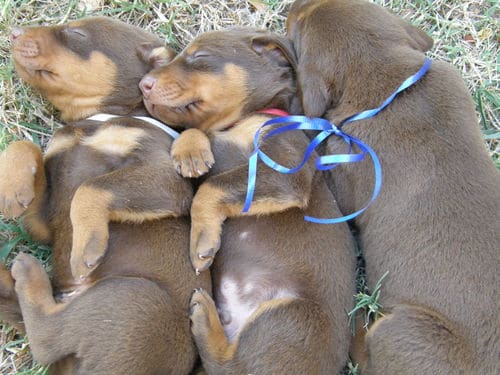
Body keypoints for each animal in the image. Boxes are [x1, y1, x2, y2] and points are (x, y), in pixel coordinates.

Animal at [0, 17, 211, 375]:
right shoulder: (45, 222)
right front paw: (13, 186)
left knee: (46, 339)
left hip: (134, 301)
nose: (13, 33)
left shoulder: (167, 179)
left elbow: (91, 188)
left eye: (76, 33)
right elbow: (25, 146)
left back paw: (27, 273)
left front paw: (86, 244)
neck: (94, 119)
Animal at [139, 27, 358, 374]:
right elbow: (196, 136)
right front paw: (190, 151)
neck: (241, 122)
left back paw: (204, 318)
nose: (143, 84)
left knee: (230, 364)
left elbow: (212, 187)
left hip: (288, 317)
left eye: (200, 57)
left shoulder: (284, 171)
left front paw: (202, 239)